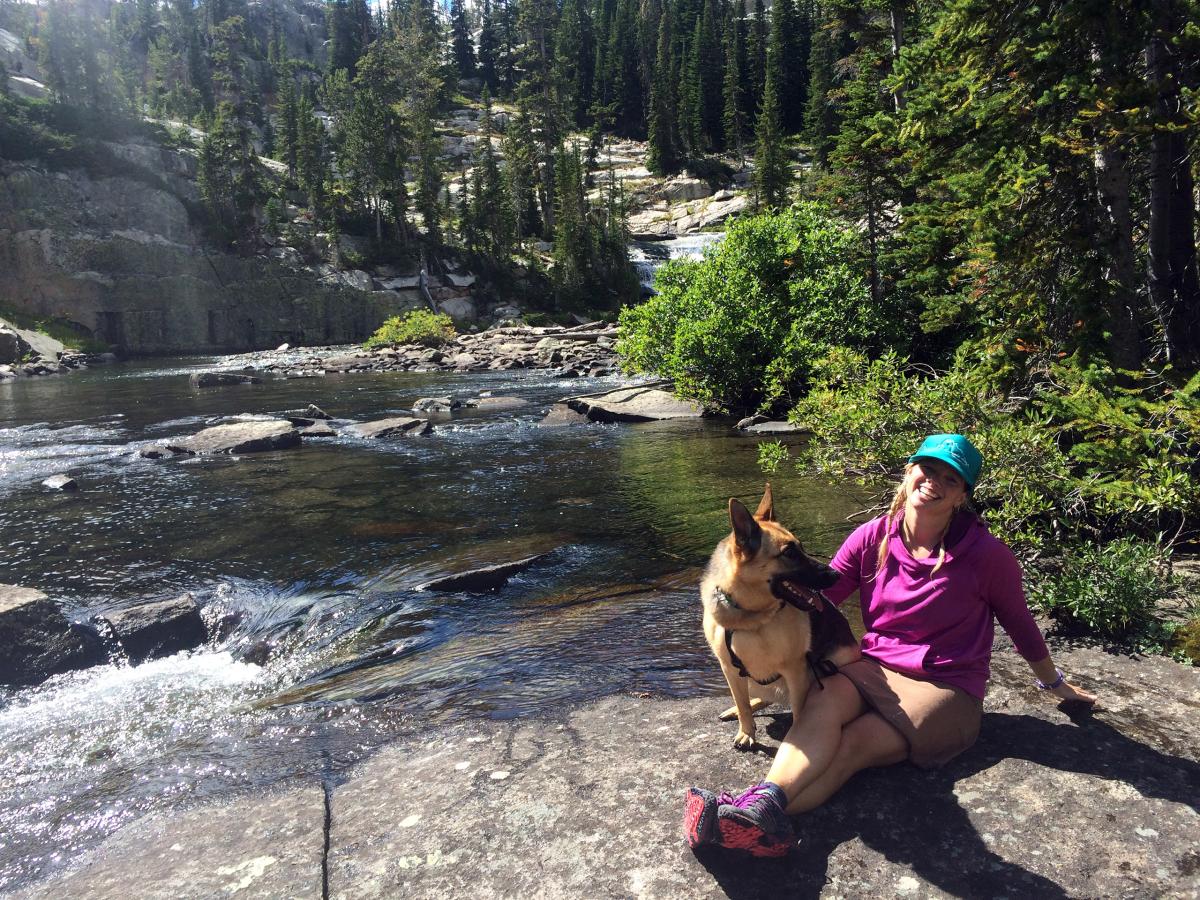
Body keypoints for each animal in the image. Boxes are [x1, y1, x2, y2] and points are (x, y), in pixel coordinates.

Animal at [700, 489, 864, 748]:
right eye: (789, 553)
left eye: (802, 547)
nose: (836, 574)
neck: (750, 617)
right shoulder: (729, 670)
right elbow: (742, 704)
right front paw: (746, 731)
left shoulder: (795, 671)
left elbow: (799, 714)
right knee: (757, 699)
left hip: (832, 665)